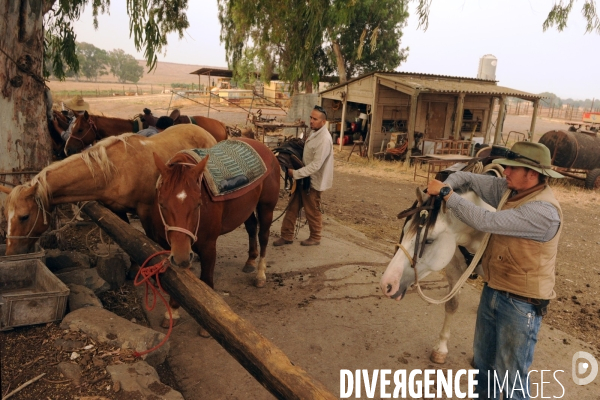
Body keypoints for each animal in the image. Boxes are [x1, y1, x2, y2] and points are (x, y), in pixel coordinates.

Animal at [3, 126, 217, 256]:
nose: (10, 252)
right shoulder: (117, 210)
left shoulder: (146, 211)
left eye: (24, 216)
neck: (116, 169)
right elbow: (129, 240)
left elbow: (150, 242)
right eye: (7, 216)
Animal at [151, 138, 280, 334]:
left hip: (266, 207)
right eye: (162, 204)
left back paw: (260, 275)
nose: (181, 257)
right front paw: (172, 311)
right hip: (246, 209)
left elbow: (206, 281)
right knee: (251, 228)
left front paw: (206, 326)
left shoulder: (208, 247)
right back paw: (250, 261)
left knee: (264, 237)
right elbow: (177, 281)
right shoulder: (171, 247)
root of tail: (265, 148)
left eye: (198, 204)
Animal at [380, 189, 492, 364]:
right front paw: (441, 348)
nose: (387, 284)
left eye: (428, 240)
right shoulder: (454, 267)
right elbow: (452, 304)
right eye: (404, 230)